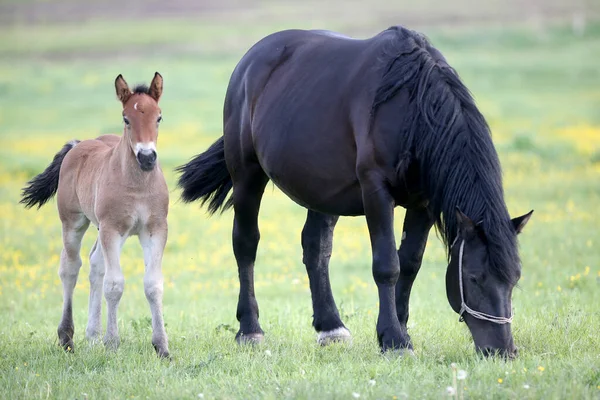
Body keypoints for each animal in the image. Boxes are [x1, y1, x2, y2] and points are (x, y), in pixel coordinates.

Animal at [21, 72, 170, 356]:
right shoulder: (113, 228)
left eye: (159, 117)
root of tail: (79, 144)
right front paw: (112, 343)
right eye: (126, 118)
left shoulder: (154, 229)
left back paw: (92, 336)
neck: (138, 185)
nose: (147, 157)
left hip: (103, 230)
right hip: (74, 223)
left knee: (95, 265)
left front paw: (162, 347)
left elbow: (153, 285)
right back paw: (67, 337)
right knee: (71, 267)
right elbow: (114, 285)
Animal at [177, 25, 528, 356]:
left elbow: (409, 264)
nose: (502, 350)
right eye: (474, 277)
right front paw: (395, 340)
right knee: (246, 244)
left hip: (320, 191)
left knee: (315, 248)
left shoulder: (423, 203)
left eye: (514, 279)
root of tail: (249, 62)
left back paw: (330, 327)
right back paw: (250, 329)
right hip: (247, 175)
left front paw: (399, 330)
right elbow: (387, 265)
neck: (411, 106)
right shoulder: (376, 191)